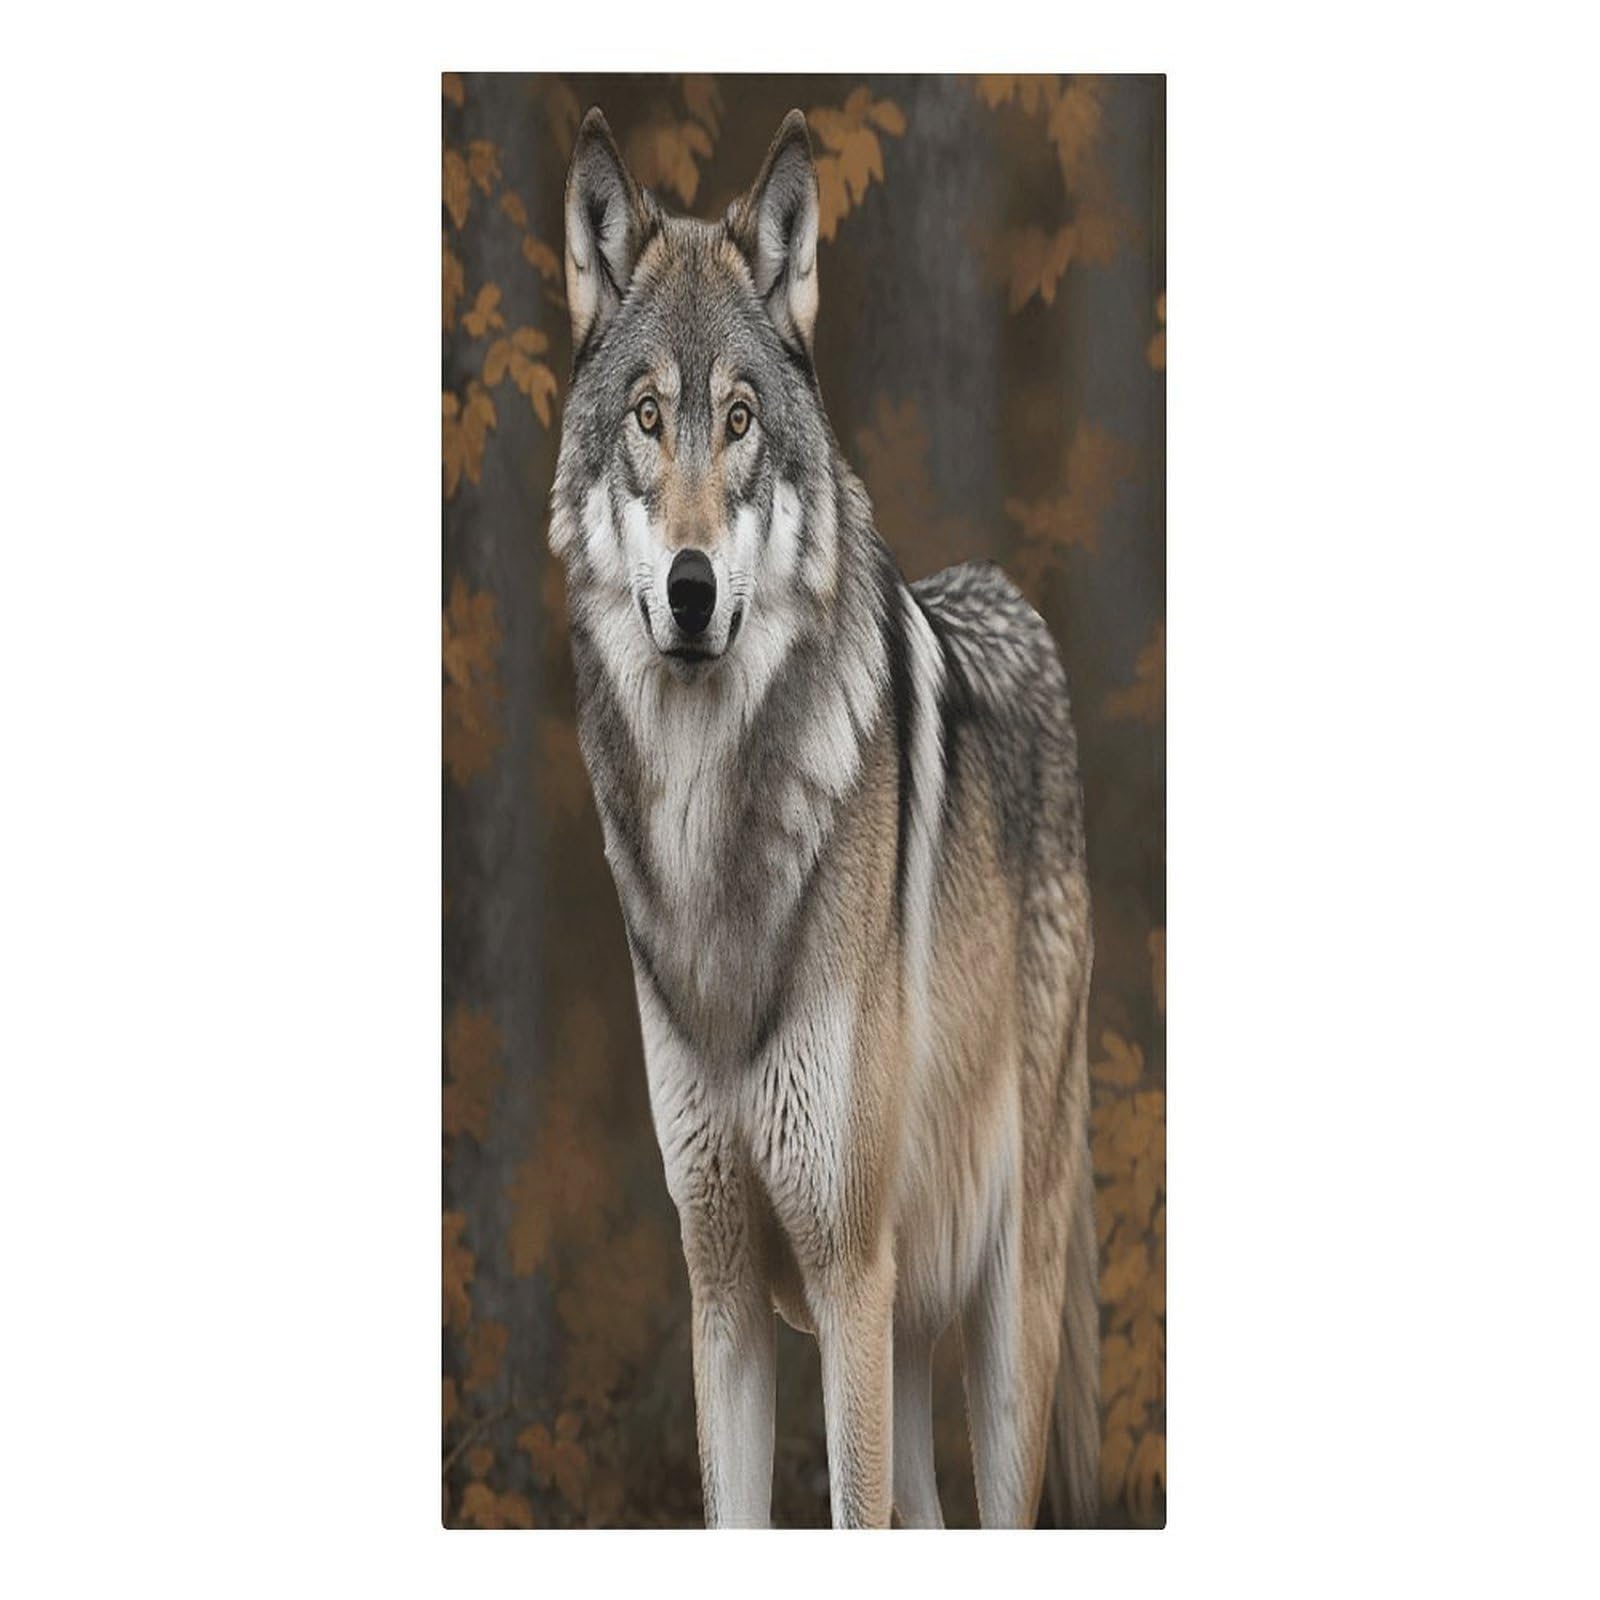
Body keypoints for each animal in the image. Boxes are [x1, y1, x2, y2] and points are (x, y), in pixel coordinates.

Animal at [547, 107, 1098, 1529]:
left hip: (999, 1322)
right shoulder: (726, 1282)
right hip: (900, 1328)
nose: (691, 589)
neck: (712, 833)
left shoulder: (843, 1268)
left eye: (740, 418)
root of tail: (1008, 600)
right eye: (649, 416)